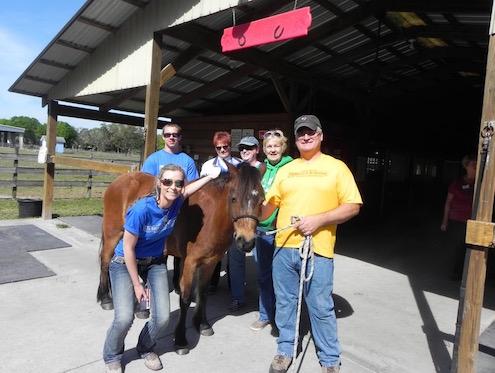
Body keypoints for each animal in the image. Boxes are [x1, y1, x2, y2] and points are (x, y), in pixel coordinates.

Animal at [98, 162, 266, 352]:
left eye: (261, 200)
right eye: (234, 198)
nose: (246, 242)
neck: (210, 216)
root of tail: (119, 181)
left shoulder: (210, 262)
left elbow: (203, 293)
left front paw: (203, 324)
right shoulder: (190, 263)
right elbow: (185, 298)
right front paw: (180, 339)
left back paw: (141, 310)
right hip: (113, 235)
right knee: (105, 262)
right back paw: (105, 299)